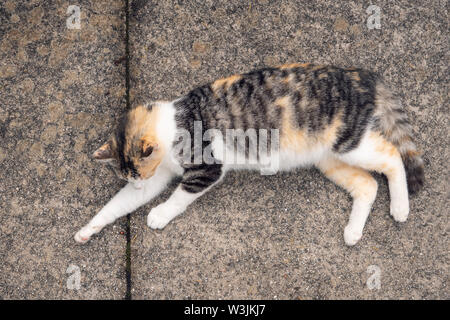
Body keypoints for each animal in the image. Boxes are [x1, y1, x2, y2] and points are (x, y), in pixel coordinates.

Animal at [75, 63, 424, 246]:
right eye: (130, 177)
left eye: (138, 173)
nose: (136, 183)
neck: (173, 121)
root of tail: (359, 74)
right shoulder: (160, 175)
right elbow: (116, 205)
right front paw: (88, 229)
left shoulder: (206, 168)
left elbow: (179, 195)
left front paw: (159, 214)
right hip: (330, 159)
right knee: (368, 185)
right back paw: (353, 232)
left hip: (349, 142)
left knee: (393, 156)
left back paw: (400, 207)